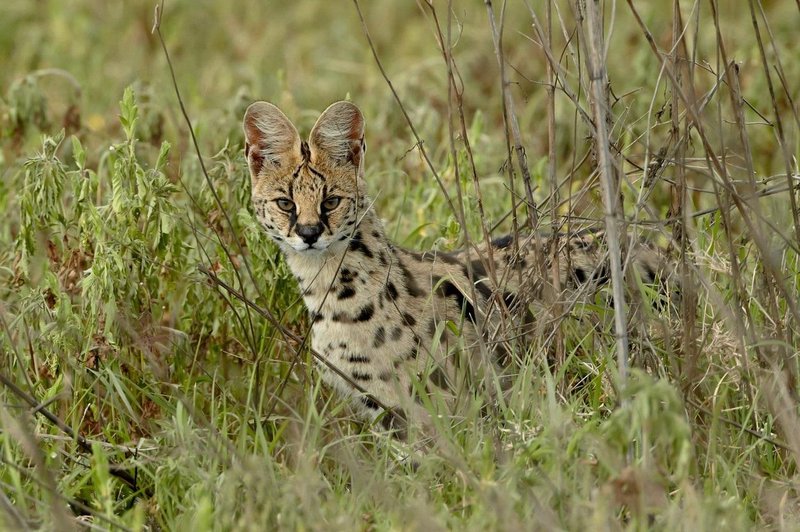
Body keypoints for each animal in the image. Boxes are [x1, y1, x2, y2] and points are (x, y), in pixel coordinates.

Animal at [242, 102, 668, 438]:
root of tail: (656, 249)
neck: (333, 298)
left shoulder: (436, 415)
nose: (309, 233)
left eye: (330, 201)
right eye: (285, 203)